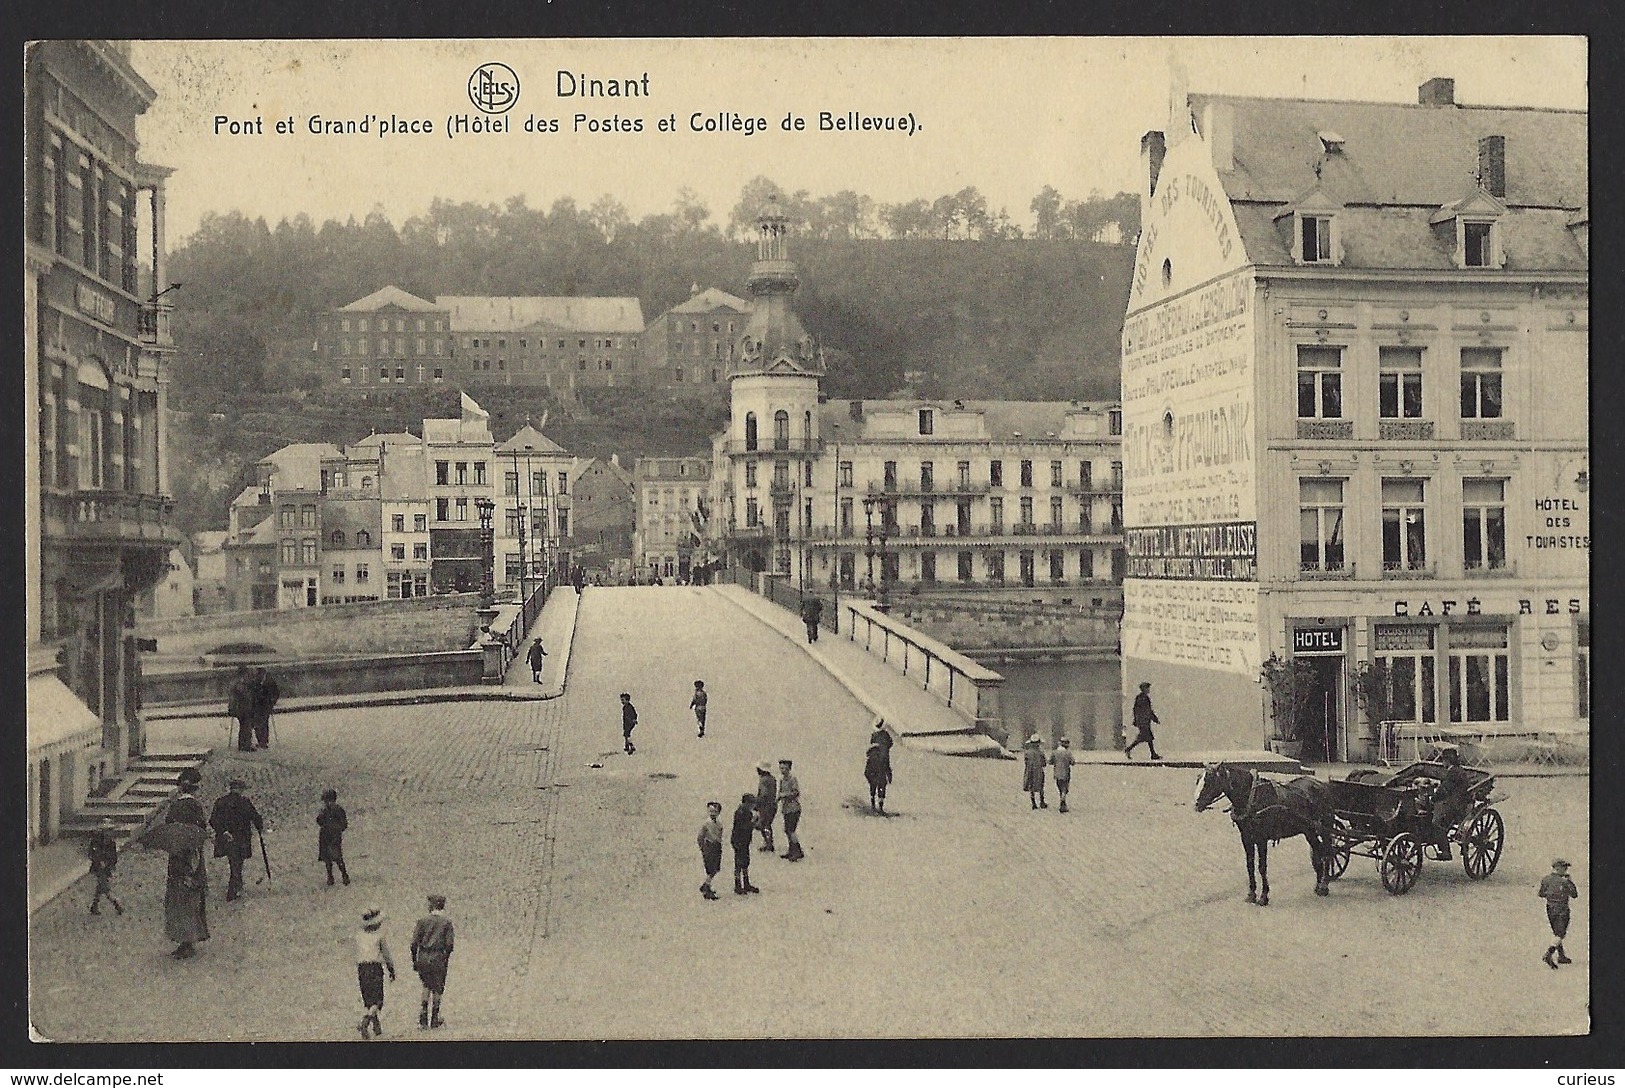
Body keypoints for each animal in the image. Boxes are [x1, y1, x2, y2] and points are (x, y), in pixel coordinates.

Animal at [1196, 766, 1332, 909]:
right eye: (1198, 780)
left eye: (1209, 780)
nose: (1197, 803)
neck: (1251, 798)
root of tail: (1322, 784)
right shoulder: (1246, 838)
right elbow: (1250, 865)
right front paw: (1251, 894)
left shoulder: (1261, 839)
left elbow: (1262, 867)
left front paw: (1263, 896)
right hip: (1309, 830)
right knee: (1319, 853)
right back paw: (1318, 884)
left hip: (1325, 829)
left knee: (1328, 852)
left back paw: (1324, 885)